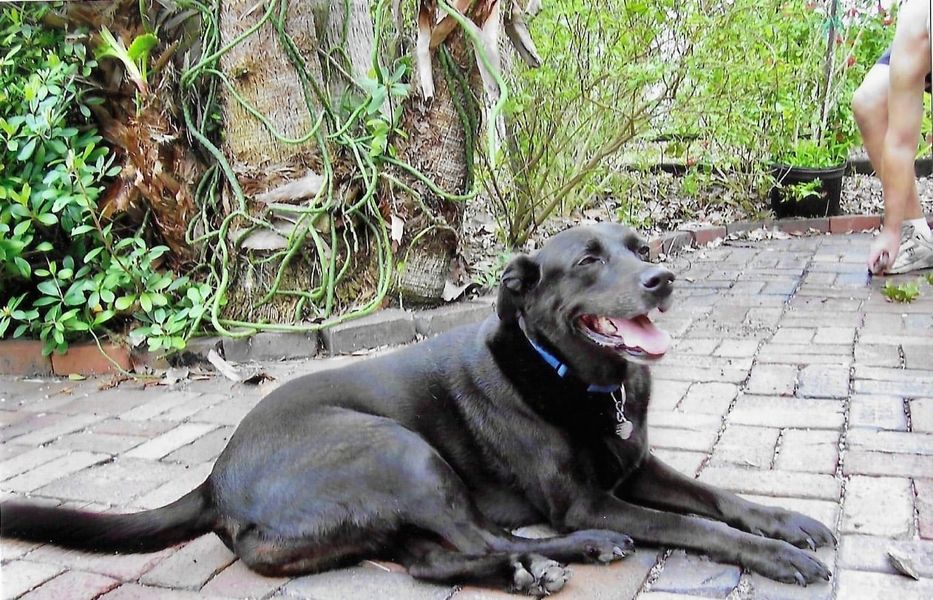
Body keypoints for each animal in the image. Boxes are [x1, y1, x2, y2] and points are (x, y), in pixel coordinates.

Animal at [1, 224, 834, 595]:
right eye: (589, 261)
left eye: (640, 246)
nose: (662, 280)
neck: (575, 375)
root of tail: (213, 480)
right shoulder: (587, 499)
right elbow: (698, 527)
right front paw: (780, 557)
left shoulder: (638, 465)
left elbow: (719, 497)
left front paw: (789, 523)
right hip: (399, 449)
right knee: (477, 541)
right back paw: (567, 556)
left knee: (434, 561)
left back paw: (528, 568)